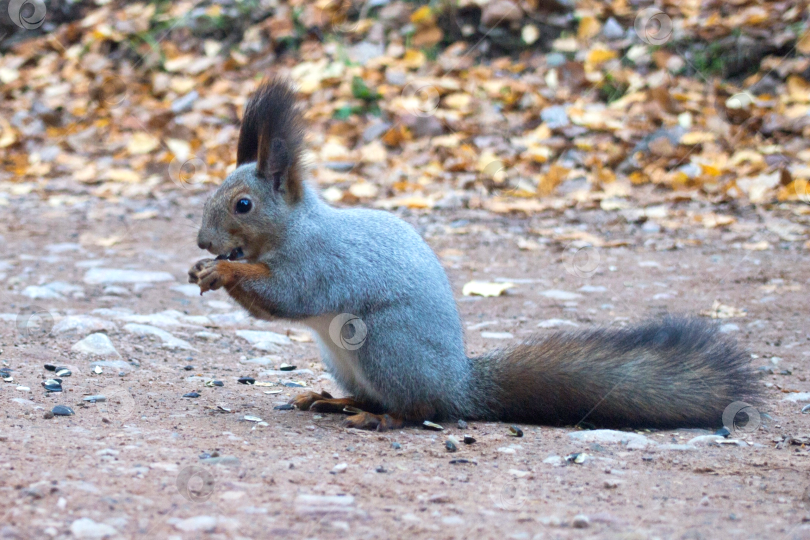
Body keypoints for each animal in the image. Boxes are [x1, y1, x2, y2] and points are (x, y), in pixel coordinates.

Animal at [188, 80, 756, 432]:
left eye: (243, 205)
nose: (201, 243)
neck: (296, 228)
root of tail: (461, 387)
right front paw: (202, 269)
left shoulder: (320, 264)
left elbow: (285, 296)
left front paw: (223, 270)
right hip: (344, 358)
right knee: (377, 396)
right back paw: (331, 400)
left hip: (384, 345)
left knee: (417, 408)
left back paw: (380, 418)